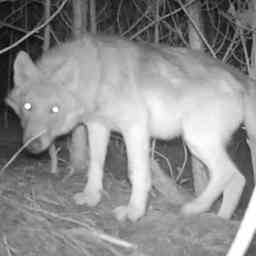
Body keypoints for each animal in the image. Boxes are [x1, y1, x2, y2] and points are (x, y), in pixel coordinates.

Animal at [5, 33, 256, 222]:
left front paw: (134, 212)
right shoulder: (97, 126)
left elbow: (136, 174)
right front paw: (91, 198)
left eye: (54, 109)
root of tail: (239, 77)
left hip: (196, 141)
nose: (32, 145)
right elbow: (95, 165)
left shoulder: (134, 128)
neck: (97, 76)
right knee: (238, 179)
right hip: (201, 144)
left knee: (228, 174)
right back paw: (221, 219)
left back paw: (194, 208)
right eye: (28, 106)